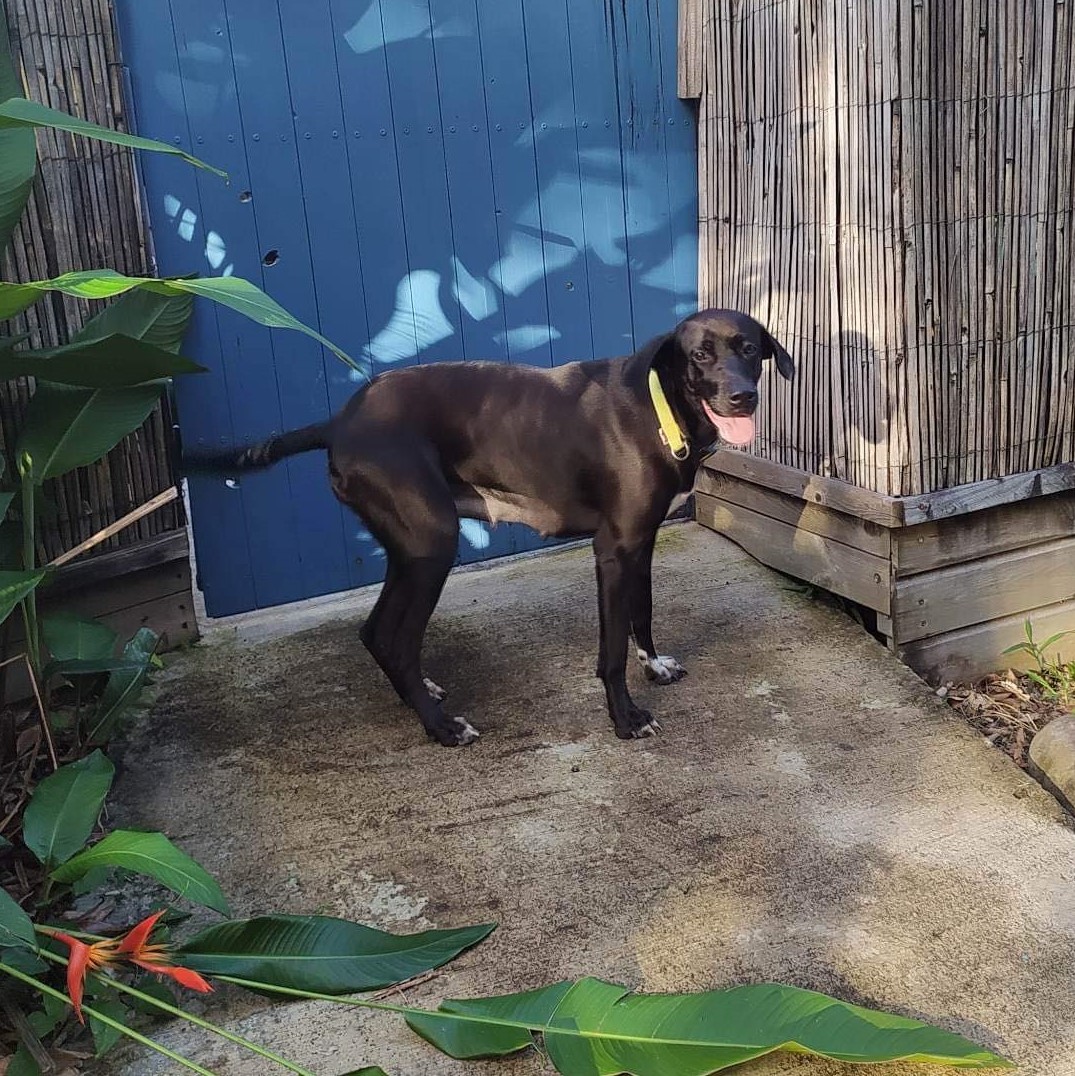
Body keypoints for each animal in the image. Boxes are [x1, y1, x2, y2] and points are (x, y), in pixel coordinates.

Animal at [185, 312, 791, 744]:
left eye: (749, 349)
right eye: (700, 355)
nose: (742, 397)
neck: (660, 405)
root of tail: (341, 421)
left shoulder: (640, 543)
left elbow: (641, 613)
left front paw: (655, 665)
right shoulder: (614, 550)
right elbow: (611, 650)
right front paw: (625, 718)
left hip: (409, 549)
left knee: (376, 632)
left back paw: (422, 695)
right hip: (432, 545)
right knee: (392, 638)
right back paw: (440, 726)